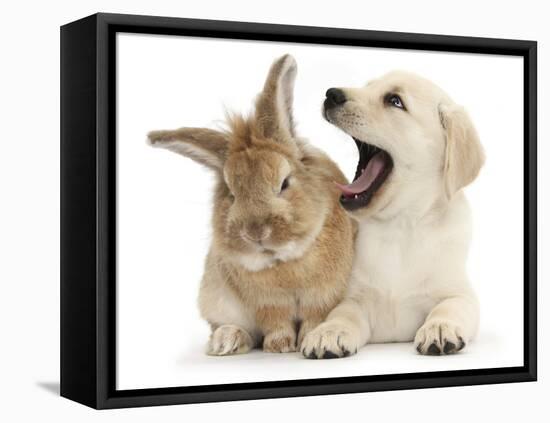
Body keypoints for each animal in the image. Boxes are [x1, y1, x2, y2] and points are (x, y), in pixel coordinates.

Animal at [149, 54, 356, 356]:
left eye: (284, 183)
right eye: (232, 194)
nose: (256, 232)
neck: (284, 259)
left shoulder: (322, 297)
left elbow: (314, 318)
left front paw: (306, 339)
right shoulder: (268, 304)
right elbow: (276, 322)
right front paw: (279, 346)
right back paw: (226, 340)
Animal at [302, 72, 488, 358]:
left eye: (394, 101)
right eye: (368, 87)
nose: (331, 94)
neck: (400, 225)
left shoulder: (460, 292)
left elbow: (450, 306)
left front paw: (439, 327)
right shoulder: (355, 297)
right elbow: (343, 313)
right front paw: (329, 332)